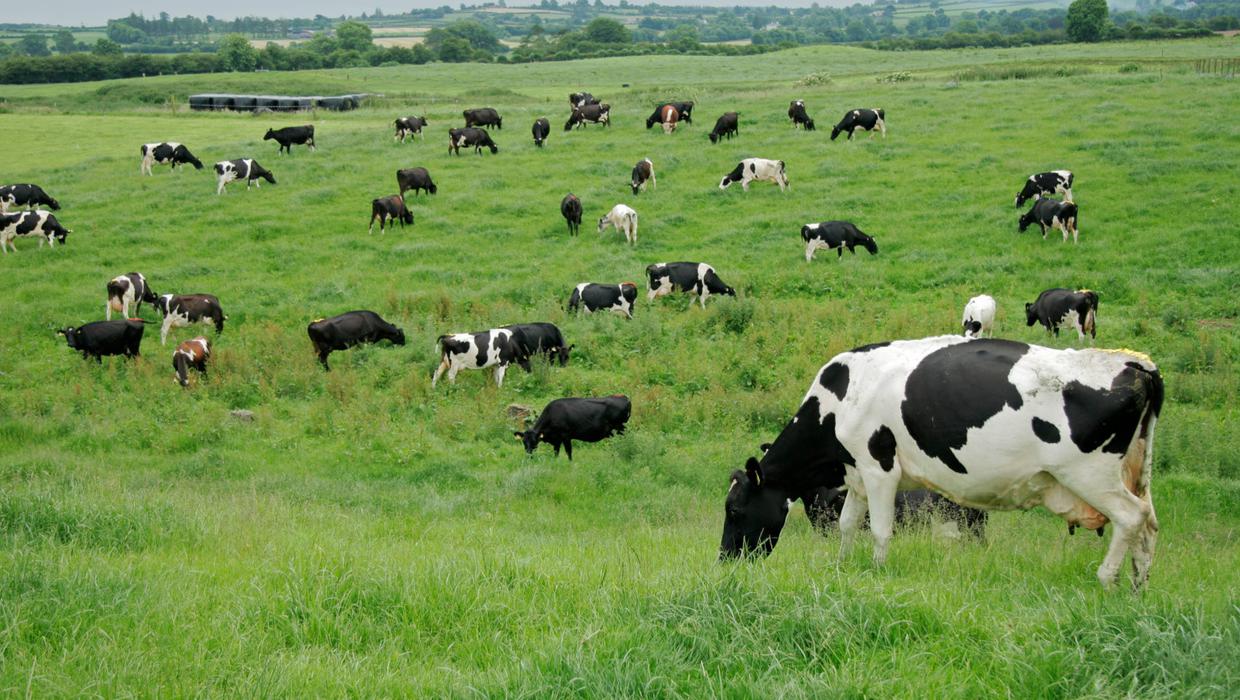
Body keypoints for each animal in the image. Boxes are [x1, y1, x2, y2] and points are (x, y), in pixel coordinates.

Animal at [720, 335, 1163, 592]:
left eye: (735, 509)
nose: (725, 560)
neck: (838, 400)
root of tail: (1134, 363)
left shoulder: (879, 468)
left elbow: (879, 529)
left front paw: (877, 572)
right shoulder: (857, 473)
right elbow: (847, 524)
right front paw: (842, 567)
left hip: (1090, 473)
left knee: (1130, 517)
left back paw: (1107, 579)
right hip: (1135, 475)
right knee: (1149, 525)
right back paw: (1138, 588)